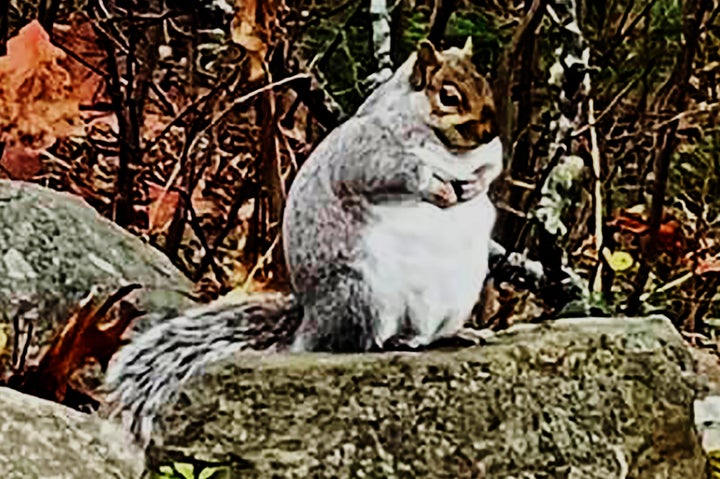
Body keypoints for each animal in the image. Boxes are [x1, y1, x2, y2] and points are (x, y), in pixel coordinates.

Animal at [104, 39, 504, 448]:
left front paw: (477, 183)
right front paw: (437, 187)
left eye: (484, 83)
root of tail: (308, 323)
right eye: (448, 96)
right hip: (361, 293)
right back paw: (397, 341)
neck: (450, 149)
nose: (489, 130)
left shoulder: (488, 155)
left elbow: (494, 166)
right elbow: (395, 172)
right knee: (352, 342)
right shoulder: (367, 151)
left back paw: (460, 333)